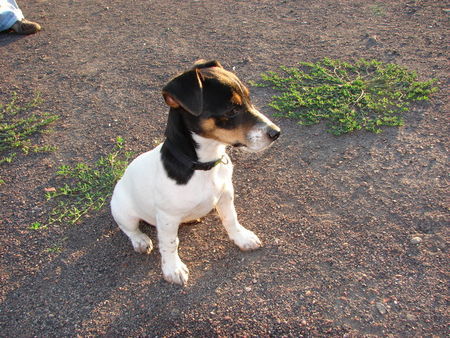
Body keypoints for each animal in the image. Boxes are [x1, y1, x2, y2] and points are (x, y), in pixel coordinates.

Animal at [110, 59, 280, 284]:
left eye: (249, 100)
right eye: (232, 110)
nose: (277, 133)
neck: (204, 165)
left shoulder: (226, 195)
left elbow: (231, 219)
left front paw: (241, 237)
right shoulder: (167, 217)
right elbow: (170, 244)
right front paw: (173, 268)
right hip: (124, 211)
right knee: (129, 228)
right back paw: (140, 240)